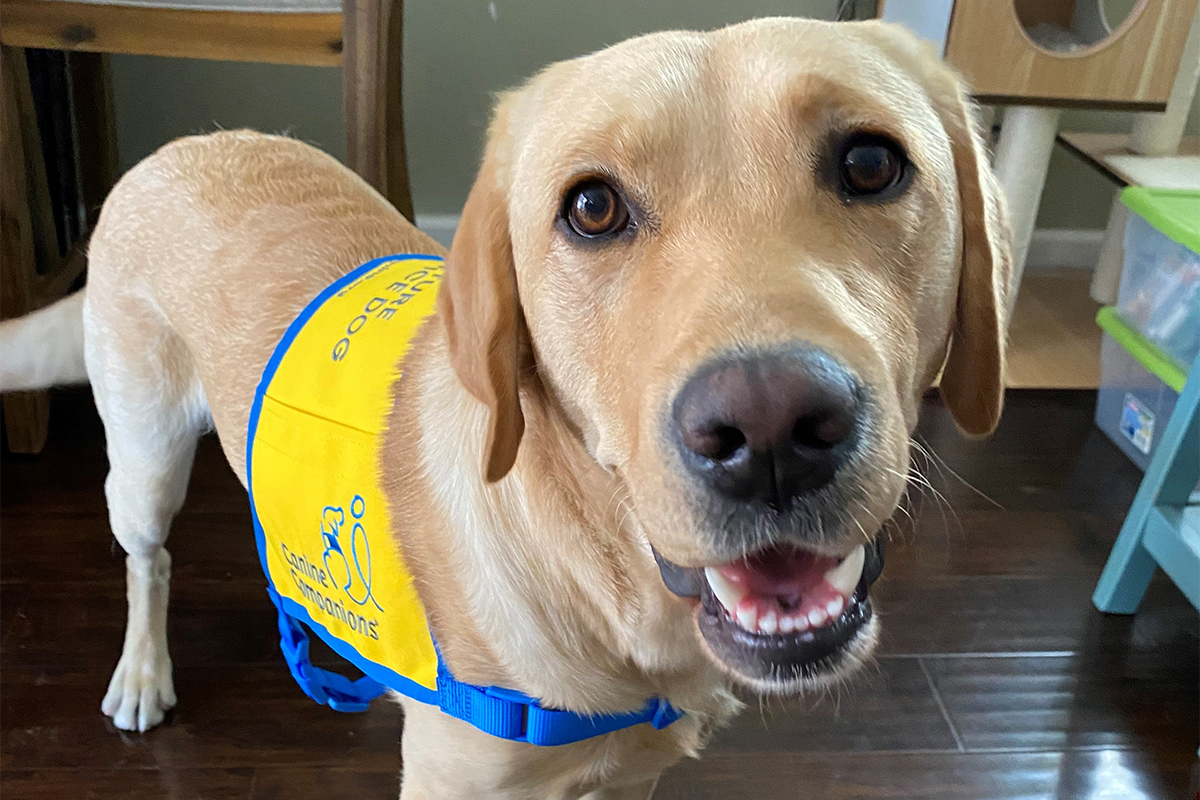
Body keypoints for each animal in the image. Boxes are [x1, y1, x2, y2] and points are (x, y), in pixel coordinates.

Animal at [0, 15, 1012, 796]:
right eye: (593, 209)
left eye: (871, 163)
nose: (769, 431)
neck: (611, 593)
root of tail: (179, 147)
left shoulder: (633, 777)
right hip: (143, 456)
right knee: (149, 559)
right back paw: (143, 670)